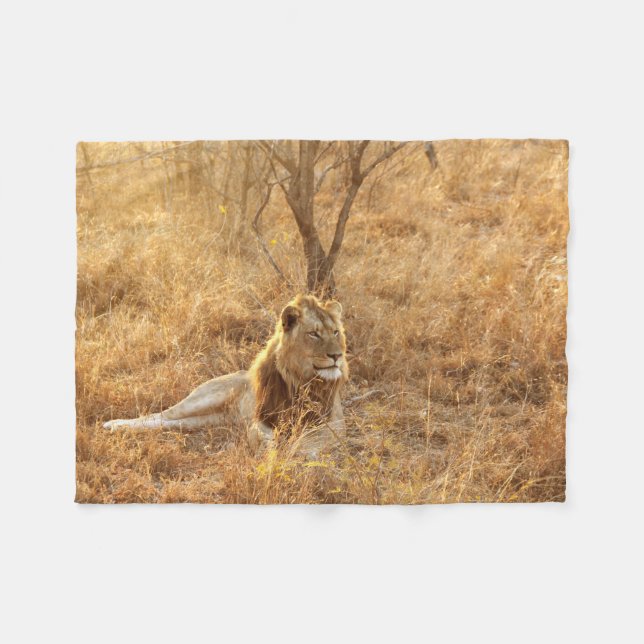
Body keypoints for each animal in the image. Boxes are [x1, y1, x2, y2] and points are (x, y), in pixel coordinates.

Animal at [103, 294, 348, 454]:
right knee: (160, 415)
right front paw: (271, 450)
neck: (302, 379)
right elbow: (261, 436)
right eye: (314, 334)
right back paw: (114, 424)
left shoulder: (334, 422)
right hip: (203, 399)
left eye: (336, 332)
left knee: (169, 423)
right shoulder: (262, 418)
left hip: (206, 420)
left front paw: (297, 450)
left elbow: (311, 440)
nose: (337, 355)